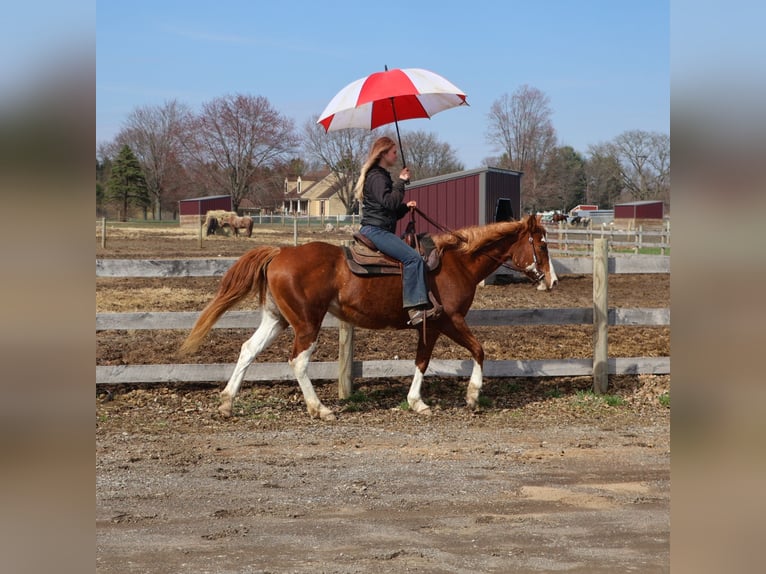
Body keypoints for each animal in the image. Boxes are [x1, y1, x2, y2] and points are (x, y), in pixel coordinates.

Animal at [179, 213, 558, 421]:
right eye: (541, 244)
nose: (553, 281)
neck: (457, 264)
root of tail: (280, 252)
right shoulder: (447, 320)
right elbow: (478, 351)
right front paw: (472, 396)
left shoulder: (430, 326)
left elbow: (422, 361)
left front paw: (417, 402)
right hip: (306, 323)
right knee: (298, 361)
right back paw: (320, 409)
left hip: (277, 319)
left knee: (248, 350)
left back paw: (227, 403)